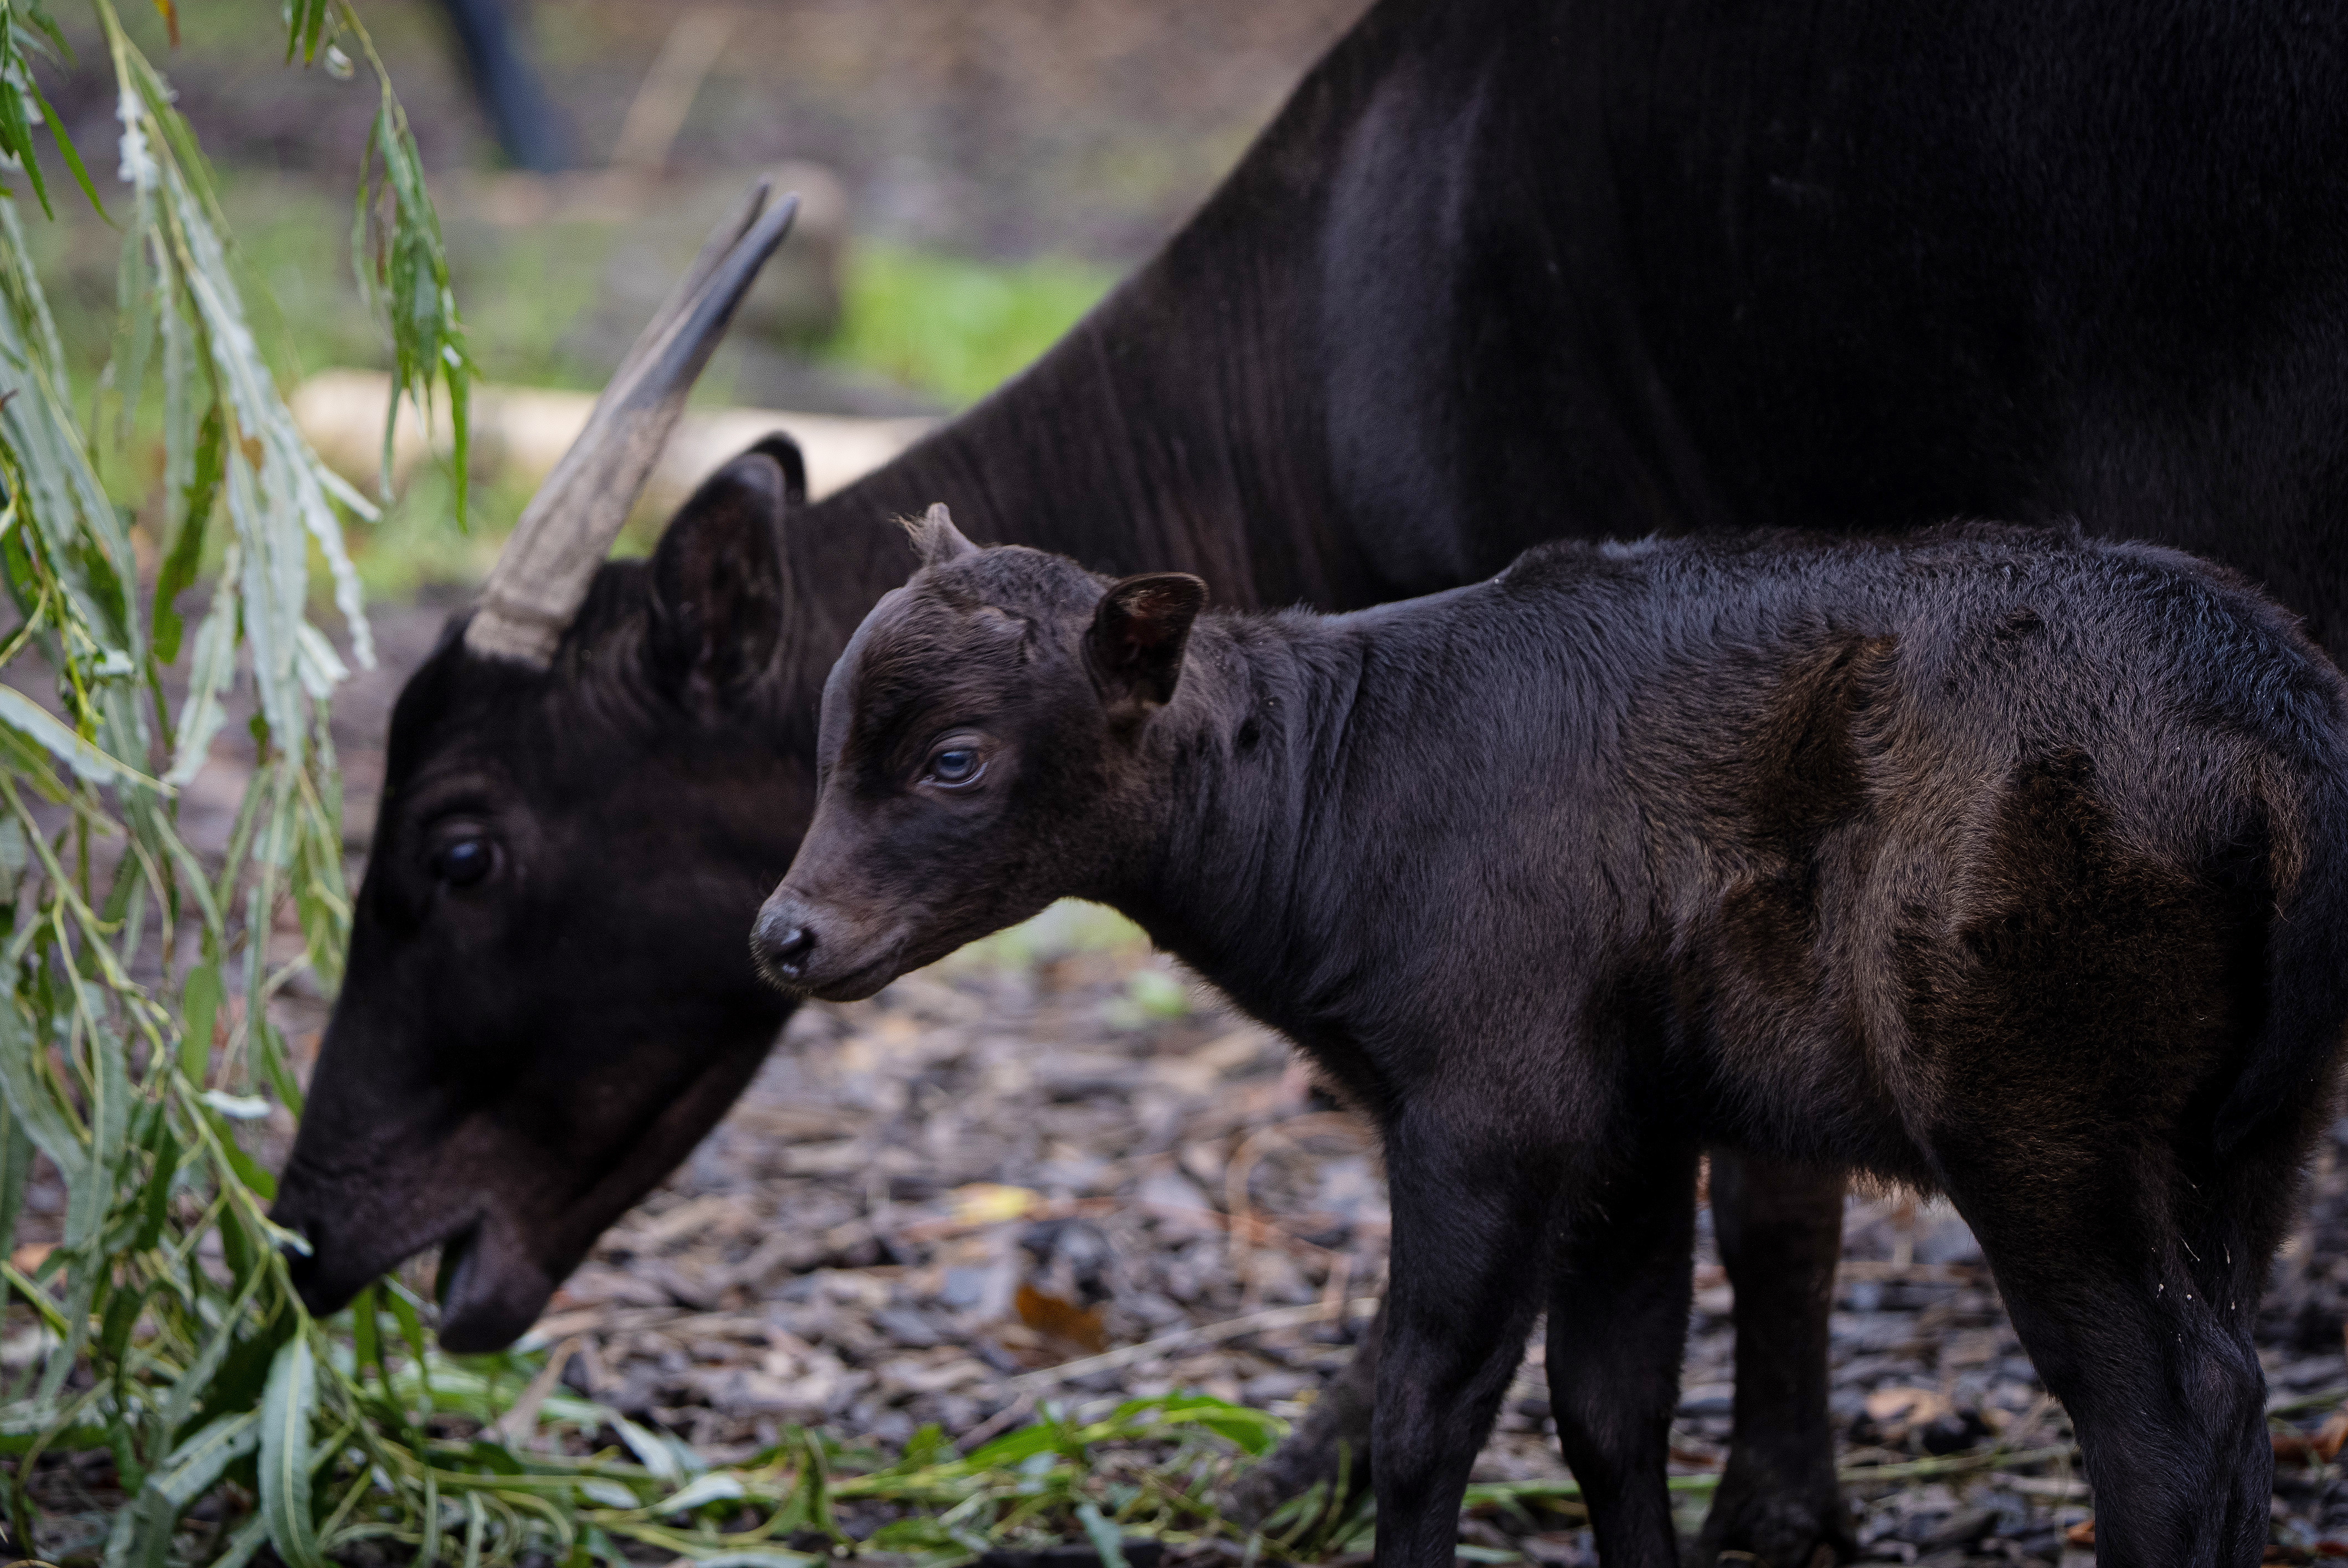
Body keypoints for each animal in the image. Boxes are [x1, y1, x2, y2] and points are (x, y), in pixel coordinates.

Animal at [756, 514, 2348, 1568]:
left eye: (953, 760)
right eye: (827, 743)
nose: (783, 936)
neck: (1337, 791)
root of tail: (2273, 716)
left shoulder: (1490, 1107)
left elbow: (1428, 1409)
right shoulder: (1631, 1129)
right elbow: (1608, 1407)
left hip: (2034, 1106)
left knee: (2163, 1413)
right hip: (2243, 1140)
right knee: (2237, 1392)